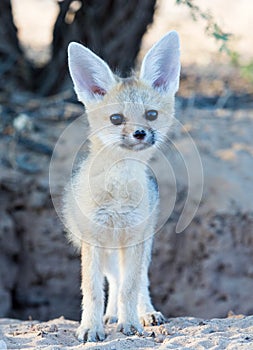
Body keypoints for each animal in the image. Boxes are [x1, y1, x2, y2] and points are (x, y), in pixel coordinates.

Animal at [62, 30, 180, 342]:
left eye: (151, 115)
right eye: (116, 119)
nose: (139, 133)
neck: (117, 193)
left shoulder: (135, 239)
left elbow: (131, 287)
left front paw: (131, 325)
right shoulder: (93, 241)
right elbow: (93, 290)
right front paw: (91, 327)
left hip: (141, 244)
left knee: (136, 282)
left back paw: (145, 313)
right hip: (107, 251)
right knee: (113, 280)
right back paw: (111, 315)